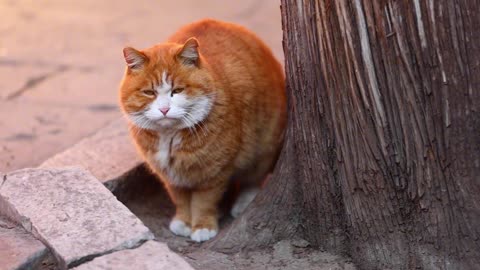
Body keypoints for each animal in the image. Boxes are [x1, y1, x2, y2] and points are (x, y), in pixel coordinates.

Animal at [118, 19, 286, 243]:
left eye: (177, 91)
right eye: (149, 92)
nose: (164, 109)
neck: (169, 137)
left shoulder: (213, 173)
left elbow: (203, 202)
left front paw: (202, 226)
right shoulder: (171, 175)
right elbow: (180, 199)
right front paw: (183, 221)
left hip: (263, 146)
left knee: (253, 180)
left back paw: (243, 203)